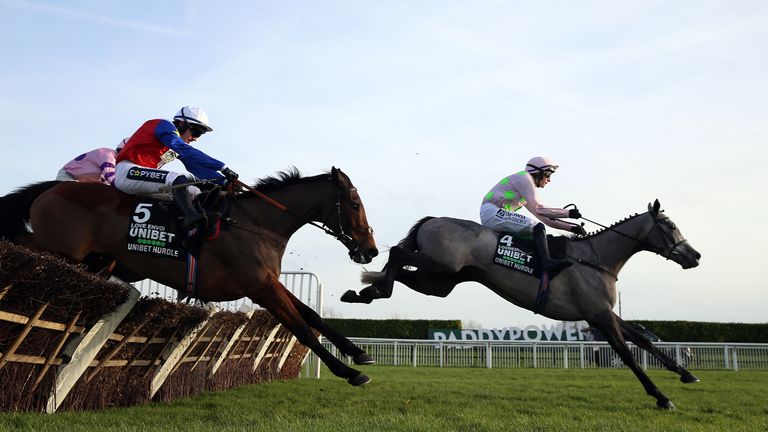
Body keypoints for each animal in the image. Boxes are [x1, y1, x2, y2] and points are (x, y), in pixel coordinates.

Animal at [1, 166, 380, 384]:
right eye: (354, 204)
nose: (371, 250)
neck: (257, 223)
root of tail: (52, 188)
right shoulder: (260, 287)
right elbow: (302, 329)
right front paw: (350, 373)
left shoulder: (268, 282)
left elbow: (313, 315)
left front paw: (357, 353)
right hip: (60, 250)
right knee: (20, 242)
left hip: (93, 260)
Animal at [342, 199, 704, 408]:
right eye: (670, 225)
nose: (695, 255)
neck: (595, 259)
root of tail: (433, 219)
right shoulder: (598, 314)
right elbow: (627, 354)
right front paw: (661, 397)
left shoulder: (602, 313)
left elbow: (643, 339)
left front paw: (686, 375)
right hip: (441, 266)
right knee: (397, 253)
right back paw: (372, 290)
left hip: (440, 282)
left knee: (402, 269)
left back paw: (368, 291)